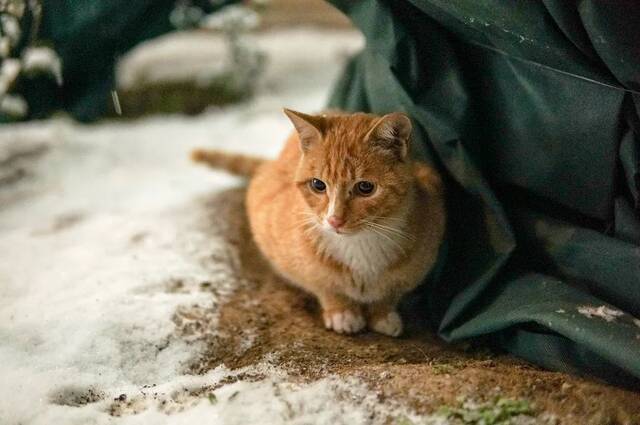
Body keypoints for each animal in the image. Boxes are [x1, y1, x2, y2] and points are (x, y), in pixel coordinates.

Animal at [192, 109, 448, 334]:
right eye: (318, 185)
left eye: (365, 187)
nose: (334, 220)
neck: (361, 246)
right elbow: (325, 286)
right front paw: (342, 312)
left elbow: (389, 294)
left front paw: (382, 314)